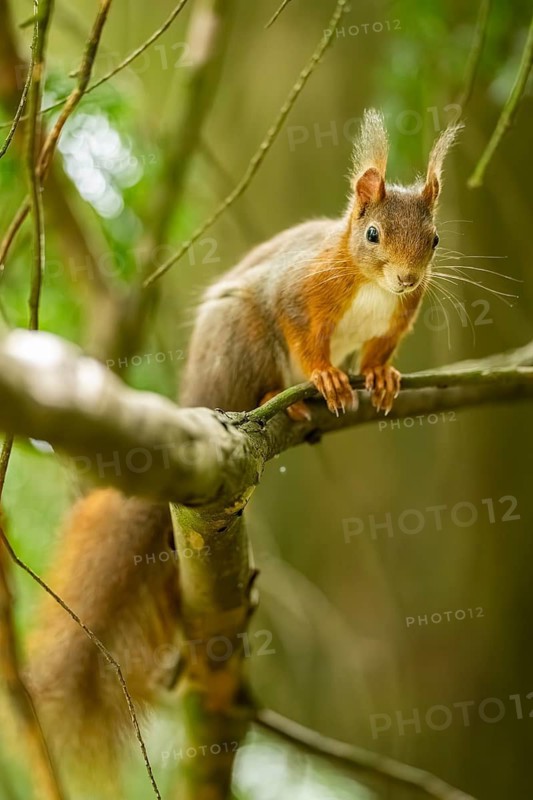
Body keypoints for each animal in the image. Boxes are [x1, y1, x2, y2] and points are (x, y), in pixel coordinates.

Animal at [27, 110, 460, 779]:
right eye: (371, 233)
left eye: (435, 240)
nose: (409, 277)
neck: (370, 287)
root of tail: (197, 394)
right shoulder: (295, 293)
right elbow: (302, 333)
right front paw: (327, 376)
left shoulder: (399, 316)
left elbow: (382, 348)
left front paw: (381, 375)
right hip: (242, 341)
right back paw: (298, 399)